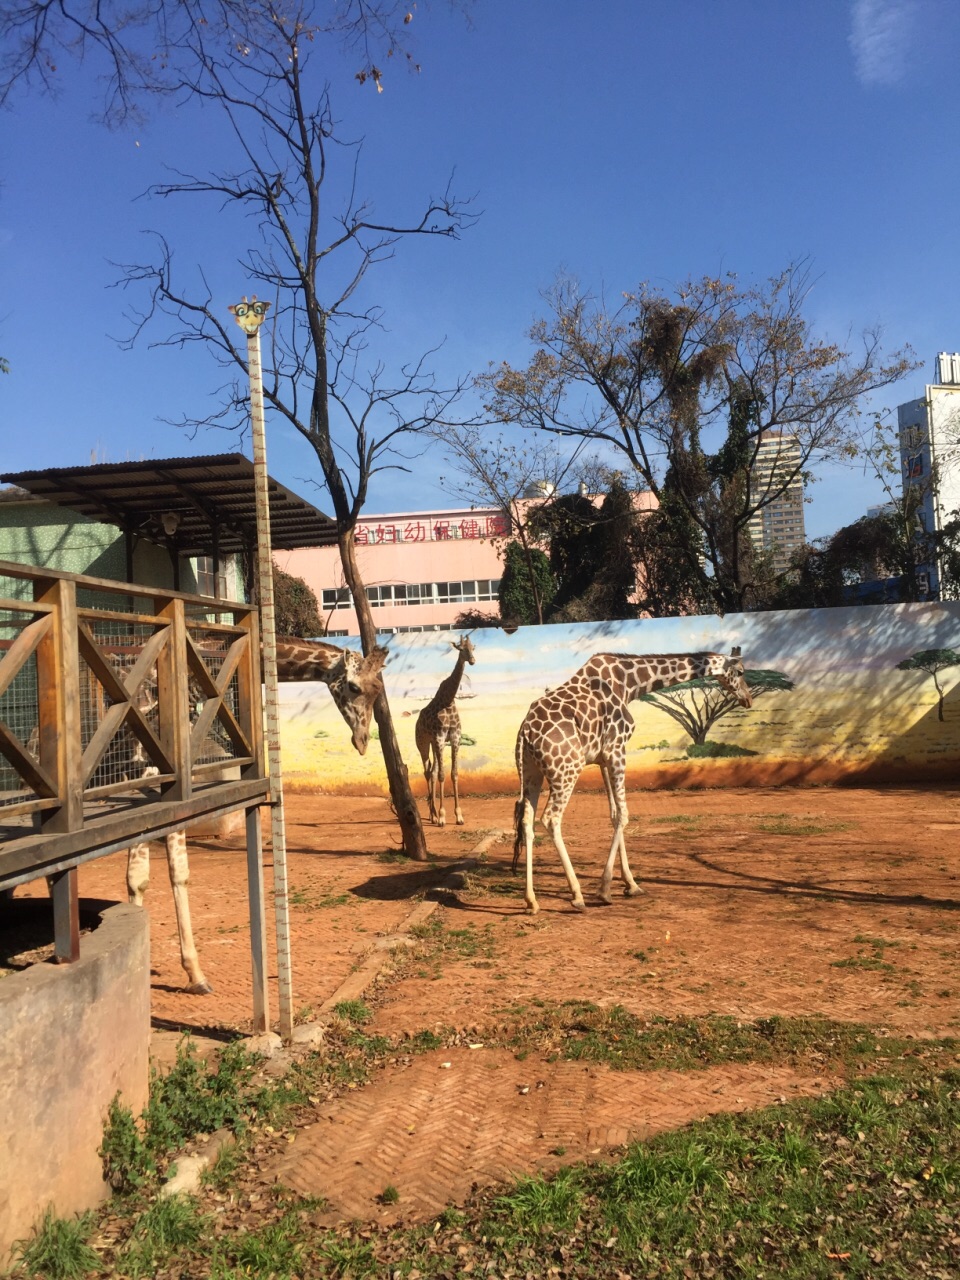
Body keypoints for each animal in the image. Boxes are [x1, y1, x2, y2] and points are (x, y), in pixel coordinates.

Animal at [126, 637, 389, 988]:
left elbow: (139, 877)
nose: (361, 743)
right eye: (354, 686)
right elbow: (166, 873)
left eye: (378, 689)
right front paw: (195, 974)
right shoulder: (152, 781)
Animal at [514, 650, 757, 911]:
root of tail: (525, 731)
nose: (748, 699)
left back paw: (531, 900)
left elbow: (613, 814)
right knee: (551, 818)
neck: (629, 684)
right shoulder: (616, 748)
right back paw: (577, 894)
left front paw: (631, 884)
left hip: (531, 773)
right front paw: (605, 889)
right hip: (567, 769)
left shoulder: (602, 758)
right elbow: (623, 814)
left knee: (527, 822)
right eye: (741, 672)